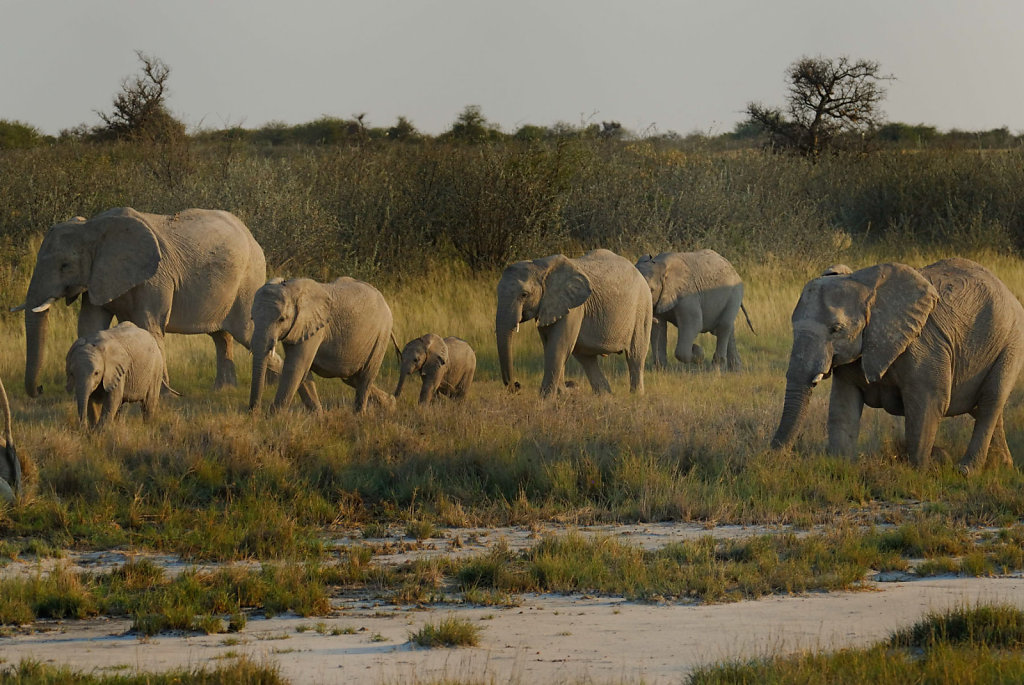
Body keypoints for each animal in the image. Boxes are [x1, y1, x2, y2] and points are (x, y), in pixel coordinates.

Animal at [14, 206, 278, 395]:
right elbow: (90, 324)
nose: (40, 389)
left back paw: (271, 383)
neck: (93, 227)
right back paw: (227, 389)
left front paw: (164, 396)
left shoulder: (156, 278)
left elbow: (148, 326)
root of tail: (250, 235)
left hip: (249, 279)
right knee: (221, 335)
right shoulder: (97, 276)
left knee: (247, 332)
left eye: (65, 266)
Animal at [247, 276, 399, 411]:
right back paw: (391, 404)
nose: (253, 412)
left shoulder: (314, 328)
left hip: (381, 335)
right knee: (351, 378)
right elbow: (303, 371)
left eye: (282, 319)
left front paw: (274, 418)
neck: (291, 289)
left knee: (365, 377)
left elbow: (295, 367)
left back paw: (360, 415)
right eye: (252, 318)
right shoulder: (298, 329)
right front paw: (319, 417)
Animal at [497, 246, 655, 395]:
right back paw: (605, 395)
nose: (517, 385)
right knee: (586, 357)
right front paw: (562, 394)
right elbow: (550, 345)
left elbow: (558, 346)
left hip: (643, 307)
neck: (541, 266)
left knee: (635, 354)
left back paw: (635, 395)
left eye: (524, 294)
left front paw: (546, 399)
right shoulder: (548, 305)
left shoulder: (574, 308)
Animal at [770, 259, 1024, 473]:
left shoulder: (923, 346)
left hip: (1011, 341)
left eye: (836, 329)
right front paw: (840, 466)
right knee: (981, 406)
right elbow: (843, 405)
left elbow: (929, 402)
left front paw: (920, 471)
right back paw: (1003, 465)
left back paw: (967, 471)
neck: (865, 286)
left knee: (992, 399)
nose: (771, 457)